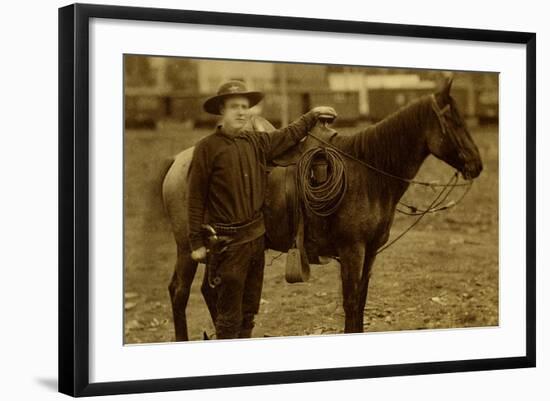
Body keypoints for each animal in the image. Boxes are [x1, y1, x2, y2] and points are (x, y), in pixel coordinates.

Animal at [163, 77, 484, 338]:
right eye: (455, 122)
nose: (477, 165)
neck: (368, 174)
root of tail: (180, 161)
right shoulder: (352, 250)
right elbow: (351, 302)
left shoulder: (371, 251)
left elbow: (361, 301)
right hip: (189, 249)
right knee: (180, 292)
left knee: (209, 291)